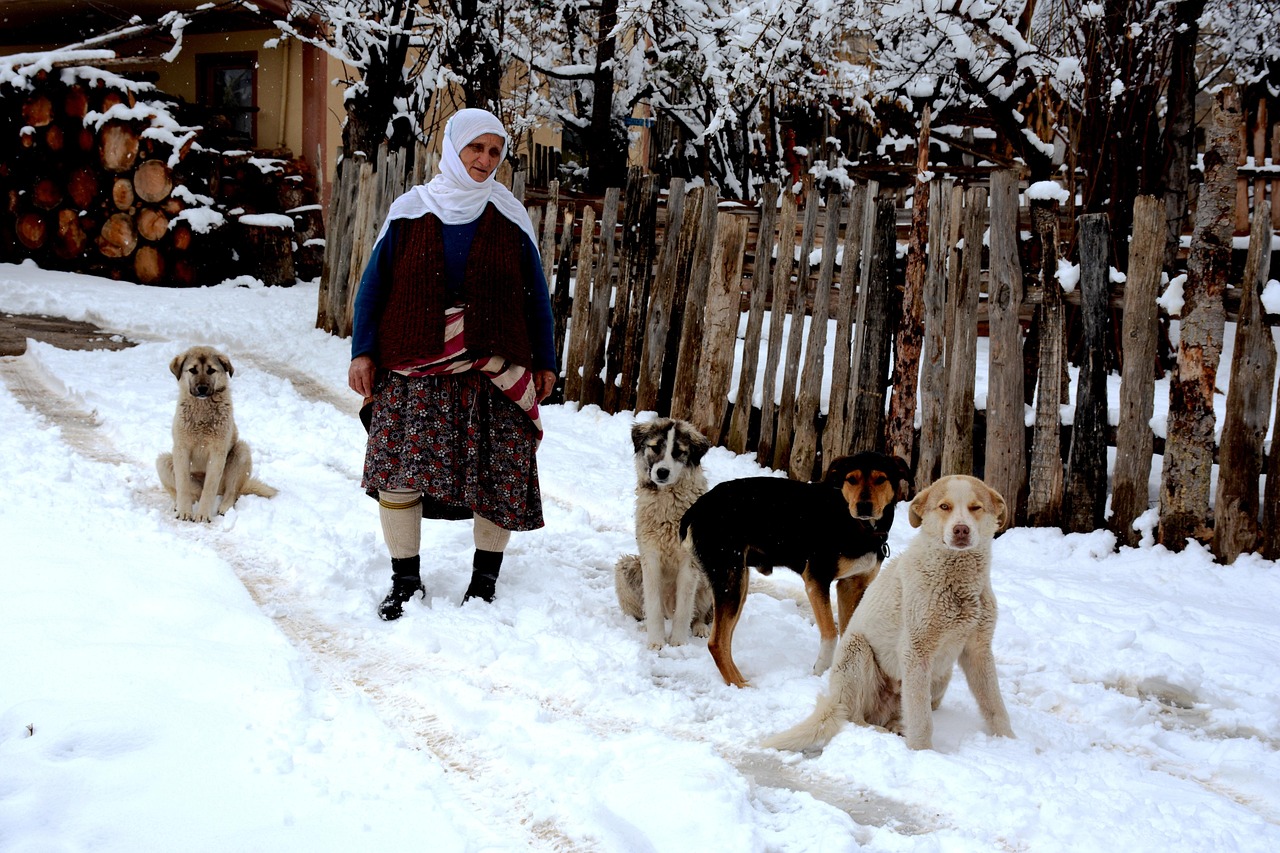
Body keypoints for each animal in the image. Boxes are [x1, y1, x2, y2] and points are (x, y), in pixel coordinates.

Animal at [156, 343, 276, 517]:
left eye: (211, 370)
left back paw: (224, 507)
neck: (202, 410)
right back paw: (178, 505)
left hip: (241, 451)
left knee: (231, 492)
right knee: (187, 492)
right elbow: (183, 485)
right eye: (192, 370)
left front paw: (203, 516)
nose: (202, 388)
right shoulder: (181, 450)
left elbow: (209, 487)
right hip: (163, 461)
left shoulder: (217, 453)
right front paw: (185, 512)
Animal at [614, 417, 716, 645]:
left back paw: (700, 628)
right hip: (626, 567)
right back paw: (644, 627)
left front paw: (677, 643)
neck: (667, 500)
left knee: (698, 614)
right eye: (655, 448)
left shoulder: (689, 562)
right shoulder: (650, 557)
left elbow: (685, 609)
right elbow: (653, 605)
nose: (662, 472)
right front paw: (656, 642)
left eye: (678, 452)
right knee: (646, 610)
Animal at [680, 450, 911, 686]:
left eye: (880, 479)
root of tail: (695, 509)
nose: (863, 506)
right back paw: (742, 686)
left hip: (737, 581)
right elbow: (830, 632)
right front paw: (820, 669)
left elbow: (847, 632)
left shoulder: (852, 585)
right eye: (851, 479)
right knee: (716, 643)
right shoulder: (816, 580)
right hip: (730, 580)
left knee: (724, 641)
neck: (858, 527)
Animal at [762, 471, 1013, 753]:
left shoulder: (978, 650)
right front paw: (923, 753)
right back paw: (882, 733)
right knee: (855, 717)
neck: (957, 582)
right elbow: (922, 720)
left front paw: (1009, 741)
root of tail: (835, 698)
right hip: (858, 650)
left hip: (940, 675)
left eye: (975, 508)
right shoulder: (916, 652)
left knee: (904, 713)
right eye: (944, 507)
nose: (961, 530)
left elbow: (995, 706)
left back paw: (897, 727)